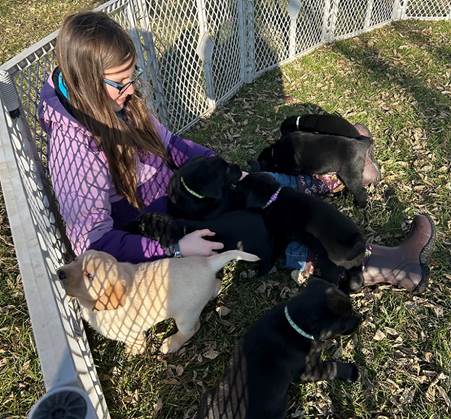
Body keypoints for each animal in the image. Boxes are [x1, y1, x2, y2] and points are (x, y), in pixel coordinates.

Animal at [58, 249, 260, 354]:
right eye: (75, 260)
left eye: (89, 276)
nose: (59, 273)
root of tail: (208, 264)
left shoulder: (132, 333)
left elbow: (136, 342)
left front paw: (133, 351)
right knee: (216, 285)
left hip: (186, 316)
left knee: (192, 329)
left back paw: (170, 344)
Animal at [198, 278, 360, 419]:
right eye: (342, 326)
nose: (360, 319)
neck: (294, 323)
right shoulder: (309, 371)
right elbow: (331, 367)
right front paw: (352, 371)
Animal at [237, 173, 368, 276]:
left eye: (244, 185)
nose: (236, 182)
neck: (274, 197)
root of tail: (359, 242)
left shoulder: (280, 236)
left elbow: (272, 254)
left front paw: (262, 270)